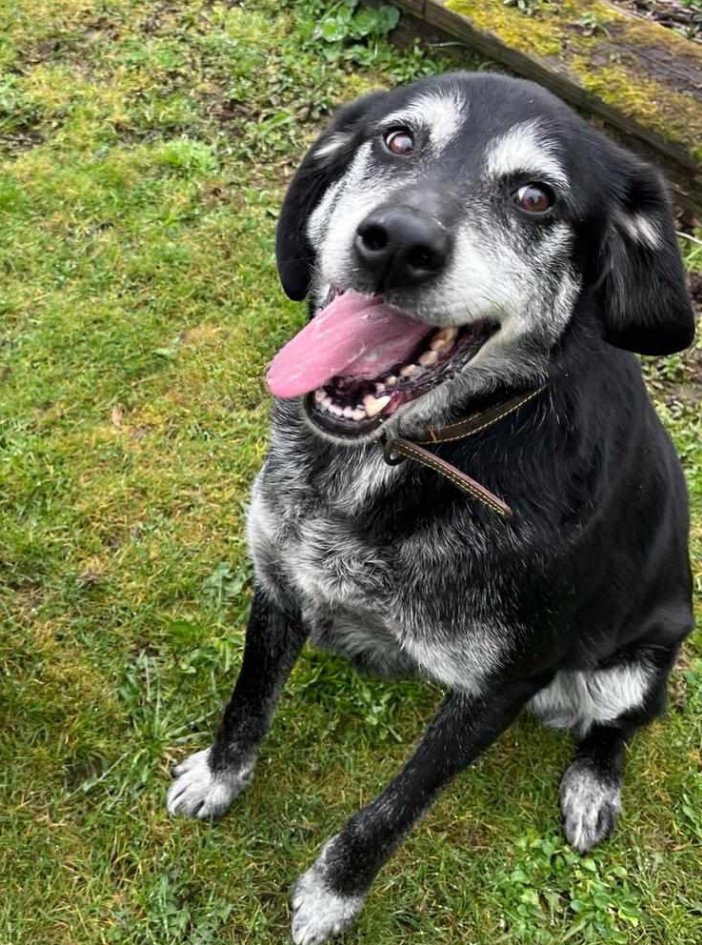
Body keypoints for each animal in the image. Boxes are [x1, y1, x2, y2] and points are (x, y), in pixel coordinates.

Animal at [166, 74, 700, 944]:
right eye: (397, 139)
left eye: (536, 195)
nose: (397, 241)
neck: (406, 454)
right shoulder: (279, 579)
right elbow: (248, 701)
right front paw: (219, 775)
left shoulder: (500, 687)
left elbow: (397, 805)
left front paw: (332, 894)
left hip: (636, 662)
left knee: (619, 724)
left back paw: (594, 785)